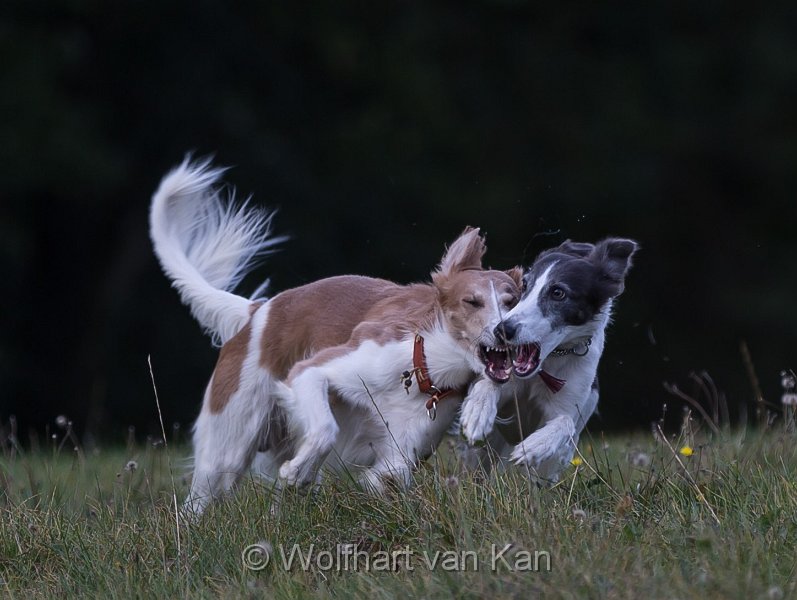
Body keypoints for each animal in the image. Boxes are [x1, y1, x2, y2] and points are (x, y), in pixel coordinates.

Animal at [150, 157, 520, 512]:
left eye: (512, 301)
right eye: (472, 301)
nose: (504, 331)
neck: (422, 367)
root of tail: (257, 312)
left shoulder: (399, 454)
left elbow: (385, 476)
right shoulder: (315, 372)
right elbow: (326, 429)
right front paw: (300, 470)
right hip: (227, 444)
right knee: (199, 502)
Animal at [458, 237, 636, 480]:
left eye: (558, 292)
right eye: (525, 285)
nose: (502, 330)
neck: (546, 365)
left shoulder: (568, 408)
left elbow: (565, 422)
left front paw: (533, 447)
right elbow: (488, 381)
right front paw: (477, 414)